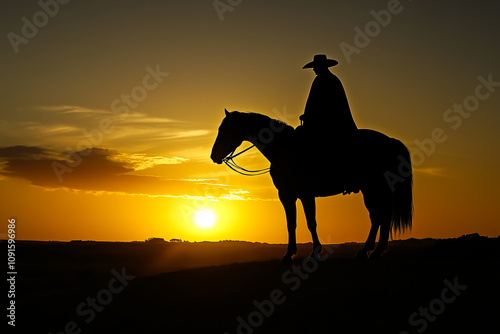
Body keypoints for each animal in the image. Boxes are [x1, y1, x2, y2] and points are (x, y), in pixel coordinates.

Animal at [209, 111, 412, 262]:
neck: (285, 149)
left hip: (376, 188)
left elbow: (310, 222)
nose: (214, 156)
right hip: (371, 189)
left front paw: (315, 251)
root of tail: (391, 141)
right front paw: (289, 254)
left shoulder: (305, 195)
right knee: (378, 216)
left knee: (382, 216)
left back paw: (373, 251)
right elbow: (292, 223)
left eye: (225, 129)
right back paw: (369, 251)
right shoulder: (287, 195)